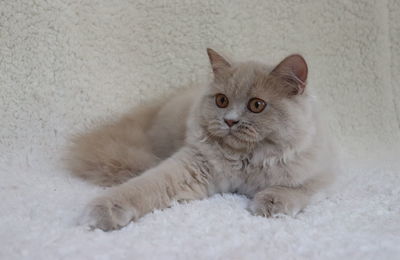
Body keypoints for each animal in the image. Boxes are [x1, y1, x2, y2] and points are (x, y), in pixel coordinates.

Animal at [67, 49, 336, 232]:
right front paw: (104, 210)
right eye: (222, 101)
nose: (230, 121)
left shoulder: (322, 173)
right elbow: (142, 186)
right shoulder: (190, 166)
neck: (245, 161)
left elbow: (295, 189)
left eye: (256, 105)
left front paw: (270, 204)